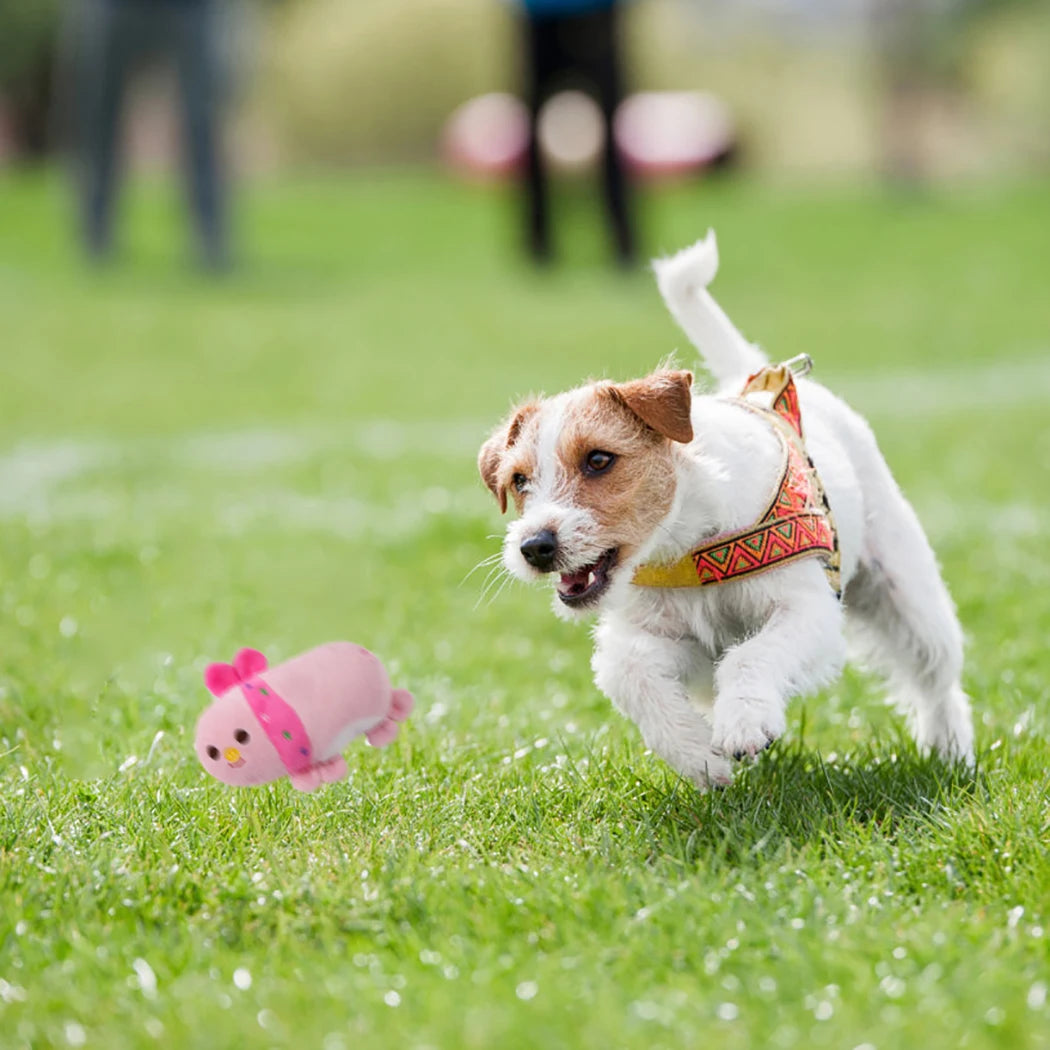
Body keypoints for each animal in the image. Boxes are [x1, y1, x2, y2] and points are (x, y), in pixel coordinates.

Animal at [480, 232, 970, 789]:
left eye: (599, 459)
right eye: (519, 480)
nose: (534, 547)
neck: (688, 544)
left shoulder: (807, 610)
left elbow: (751, 656)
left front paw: (744, 724)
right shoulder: (666, 638)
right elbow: (629, 673)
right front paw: (699, 755)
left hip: (908, 596)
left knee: (937, 678)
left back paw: (951, 750)